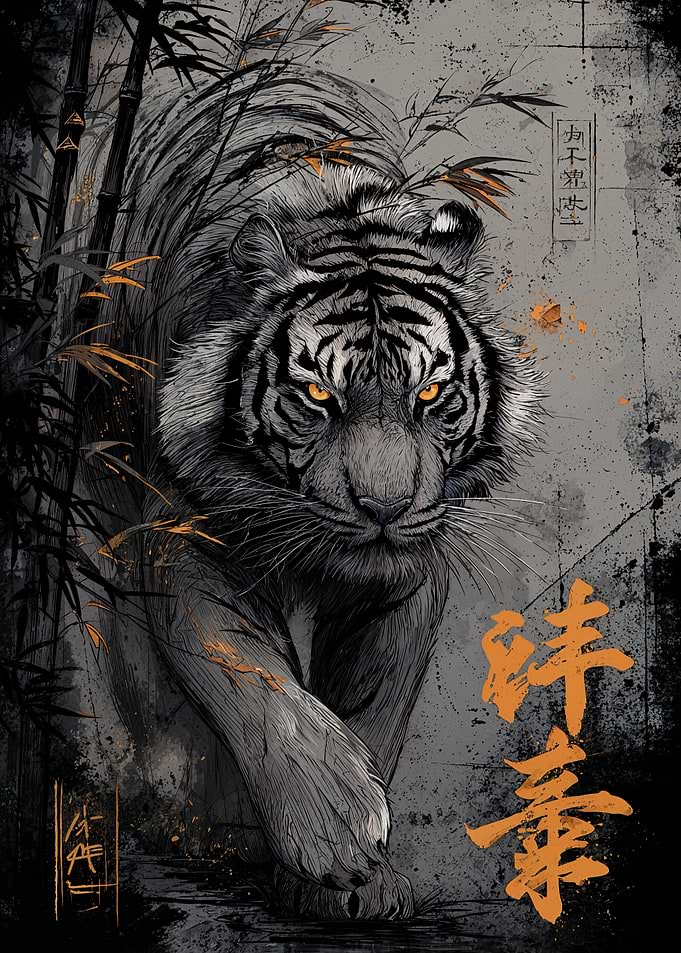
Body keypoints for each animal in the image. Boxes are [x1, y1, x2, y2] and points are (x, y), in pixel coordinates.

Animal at [74, 64, 543, 921]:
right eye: (319, 396)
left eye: (430, 393)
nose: (384, 510)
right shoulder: (185, 537)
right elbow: (249, 677)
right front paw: (336, 834)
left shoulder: (405, 574)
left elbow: (374, 704)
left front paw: (365, 882)